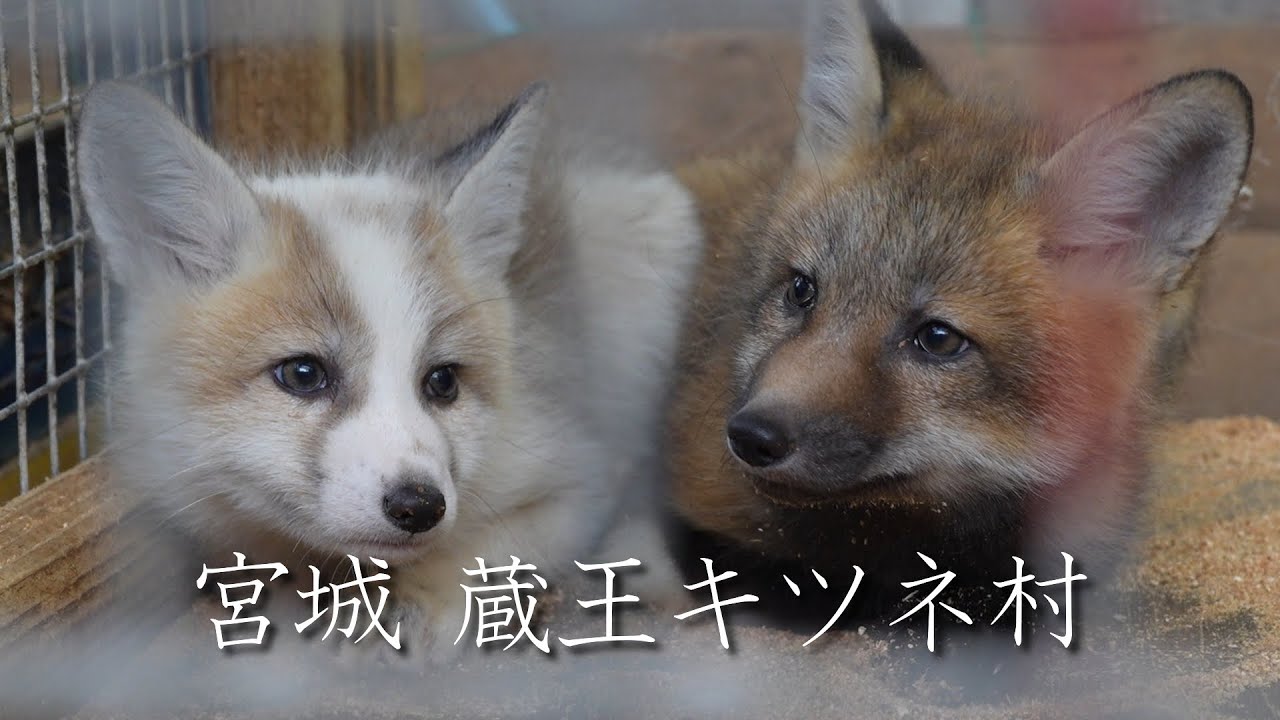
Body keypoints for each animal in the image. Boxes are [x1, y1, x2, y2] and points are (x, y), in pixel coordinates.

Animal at [75, 81, 699, 657]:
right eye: (303, 374)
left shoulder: (574, 475)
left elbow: (479, 553)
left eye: (442, 381)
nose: (419, 506)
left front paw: (415, 605)